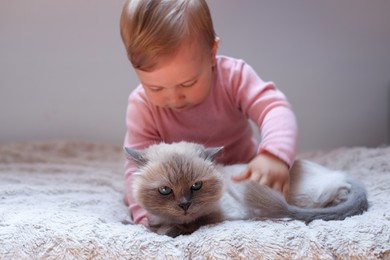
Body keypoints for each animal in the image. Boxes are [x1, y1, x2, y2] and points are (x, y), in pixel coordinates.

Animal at [125, 141, 368, 237]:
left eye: (196, 186)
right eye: (165, 190)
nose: (184, 205)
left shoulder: (223, 214)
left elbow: (192, 224)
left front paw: (168, 230)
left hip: (303, 197)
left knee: (337, 191)